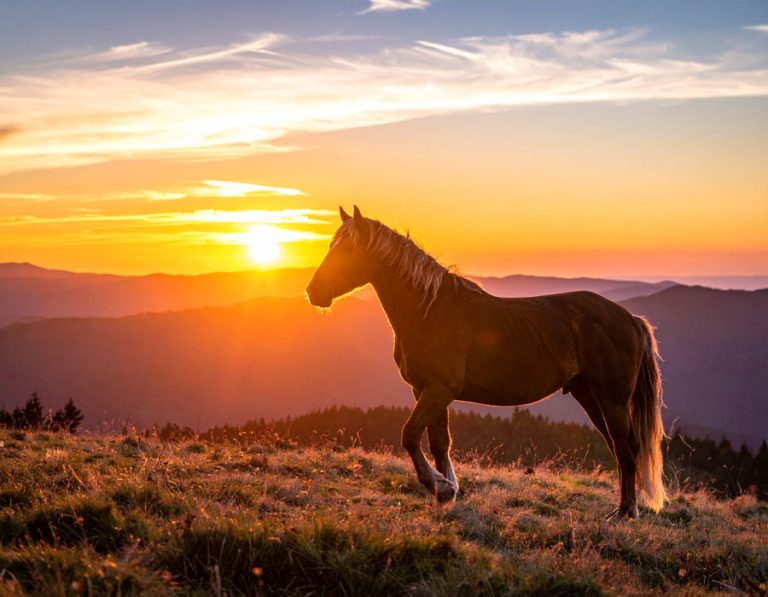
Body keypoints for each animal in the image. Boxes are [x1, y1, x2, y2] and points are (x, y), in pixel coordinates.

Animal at [306, 206, 666, 518]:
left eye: (348, 249)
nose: (313, 292)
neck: (430, 312)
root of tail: (631, 319)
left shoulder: (438, 390)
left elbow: (409, 435)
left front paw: (439, 487)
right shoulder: (427, 391)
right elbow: (439, 443)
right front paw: (447, 492)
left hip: (611, 398)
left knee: (627, 448)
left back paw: (625, 513)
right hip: (588, 395)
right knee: (618, 447)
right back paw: (624, 508)